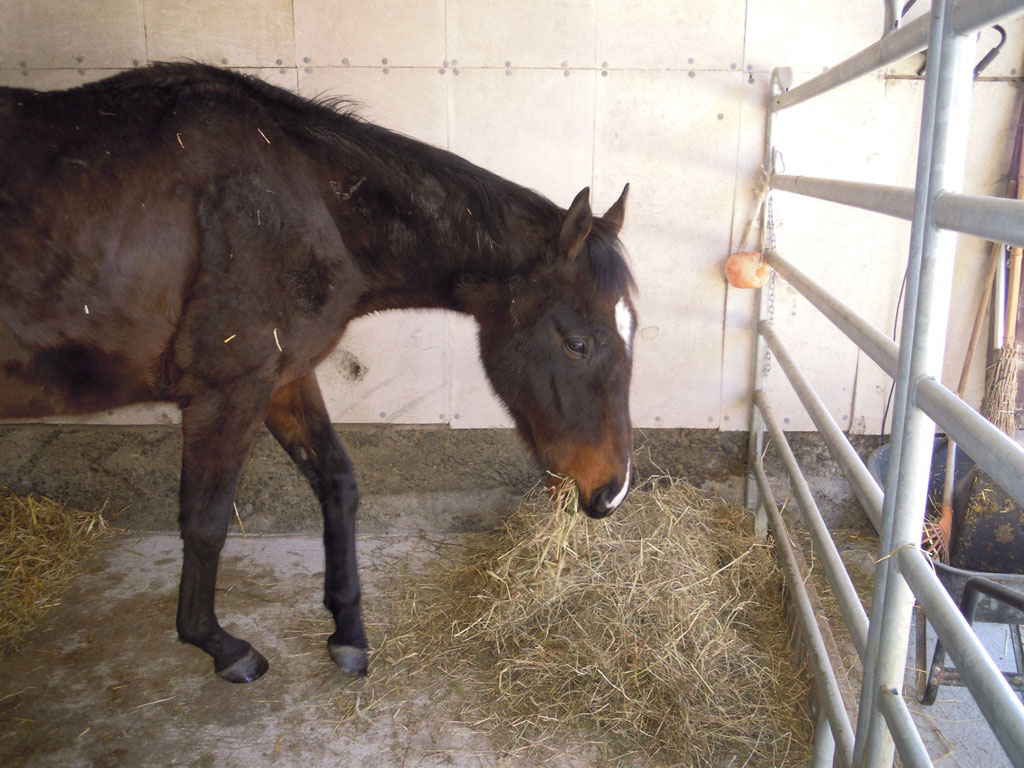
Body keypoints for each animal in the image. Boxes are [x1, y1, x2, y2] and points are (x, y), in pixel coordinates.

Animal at [0, 63, 634, 684]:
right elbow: (206, 521)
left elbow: (338, 484)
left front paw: (348, 632)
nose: (610, 493)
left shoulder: (284, 379)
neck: (304, 202)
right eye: (578, 343)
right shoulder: (227, 391)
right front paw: (220, 646)